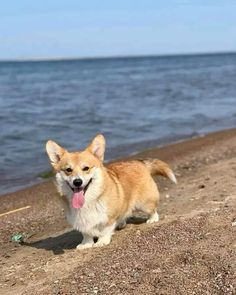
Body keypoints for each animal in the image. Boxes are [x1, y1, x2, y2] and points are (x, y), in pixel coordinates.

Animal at [46, 135, 176, 251]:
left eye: (86, 168)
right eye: (68, 170)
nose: (77, 182)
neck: (88, 201)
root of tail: (140, 163)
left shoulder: (108, 218)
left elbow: (105, 230)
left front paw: (102, 241)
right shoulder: (81, 221)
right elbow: (86, 234)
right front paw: (86, 244)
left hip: (144, 204)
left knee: (153, 210)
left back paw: (152, 219)